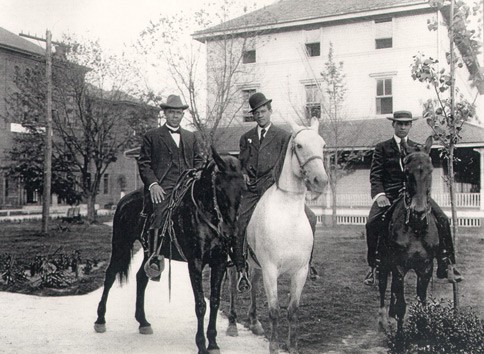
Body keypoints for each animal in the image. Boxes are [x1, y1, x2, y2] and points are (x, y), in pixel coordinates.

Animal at [93, 149, 246, 354]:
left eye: (242, 188)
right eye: (220, 189)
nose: (230, 233)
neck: (204, 212)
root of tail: (124, 200)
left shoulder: (219, 262)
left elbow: (214, 301)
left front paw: (213, 343)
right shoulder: (195, 263)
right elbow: (200, 304)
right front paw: (201, 344)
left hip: (149, 252)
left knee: (141, 277)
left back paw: (143, 322)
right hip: (121, 245)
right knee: (110, 275)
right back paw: (100, 320)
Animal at [378, 136, 438, 332]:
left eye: (430, 170)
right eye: (406, 172)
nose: (418, 211)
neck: (416, 228)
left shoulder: (425, 268)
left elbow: (422, 304)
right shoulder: (399, 267)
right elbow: (401, 306)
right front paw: (399, 337)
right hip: (383, 263)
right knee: (383, 285)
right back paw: (383, 320)